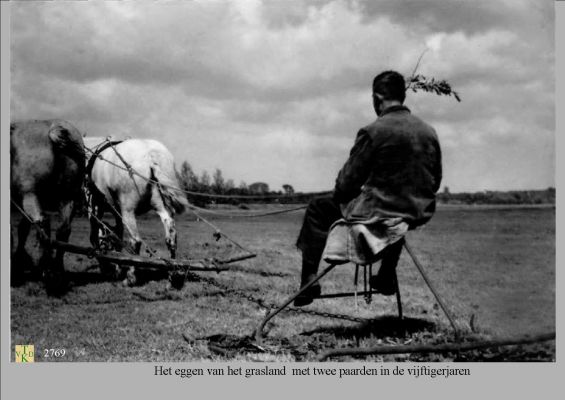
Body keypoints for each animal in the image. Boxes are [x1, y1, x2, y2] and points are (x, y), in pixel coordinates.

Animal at [10, 119, 85, 294]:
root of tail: (53, 130)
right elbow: (23, 229)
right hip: (67, 198)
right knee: (63, 231)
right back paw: (57, 271)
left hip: (30, 195)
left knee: (42, 224)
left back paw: (48, 273)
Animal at [83, 136, 188, 274]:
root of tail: (151, 154)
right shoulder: (116, 211)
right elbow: (118, 234)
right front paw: (118, 265)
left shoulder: (95, 206)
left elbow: (96, 235)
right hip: (160, 205)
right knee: (171, 238)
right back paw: (172, 268)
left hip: (128, 210)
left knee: (135, 241)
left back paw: (131, 273)